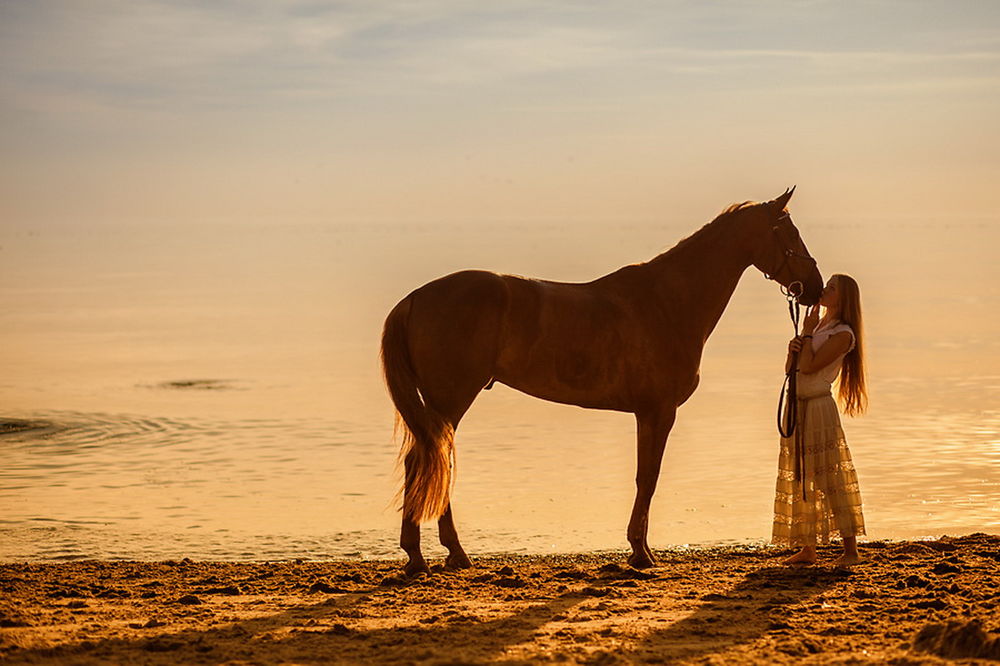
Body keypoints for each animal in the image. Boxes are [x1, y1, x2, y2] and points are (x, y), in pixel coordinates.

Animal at [380, 185, 820, 572]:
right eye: (789, 232)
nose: (814, 288)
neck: (667, 302)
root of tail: (415, 298)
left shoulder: (648, 413)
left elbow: (645, 477)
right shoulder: (658, 411)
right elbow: (648, 478)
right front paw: (641, 553)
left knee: (425, 460)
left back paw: (429, 556)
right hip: (450, 399)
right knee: (428, 460)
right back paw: (440, 554)